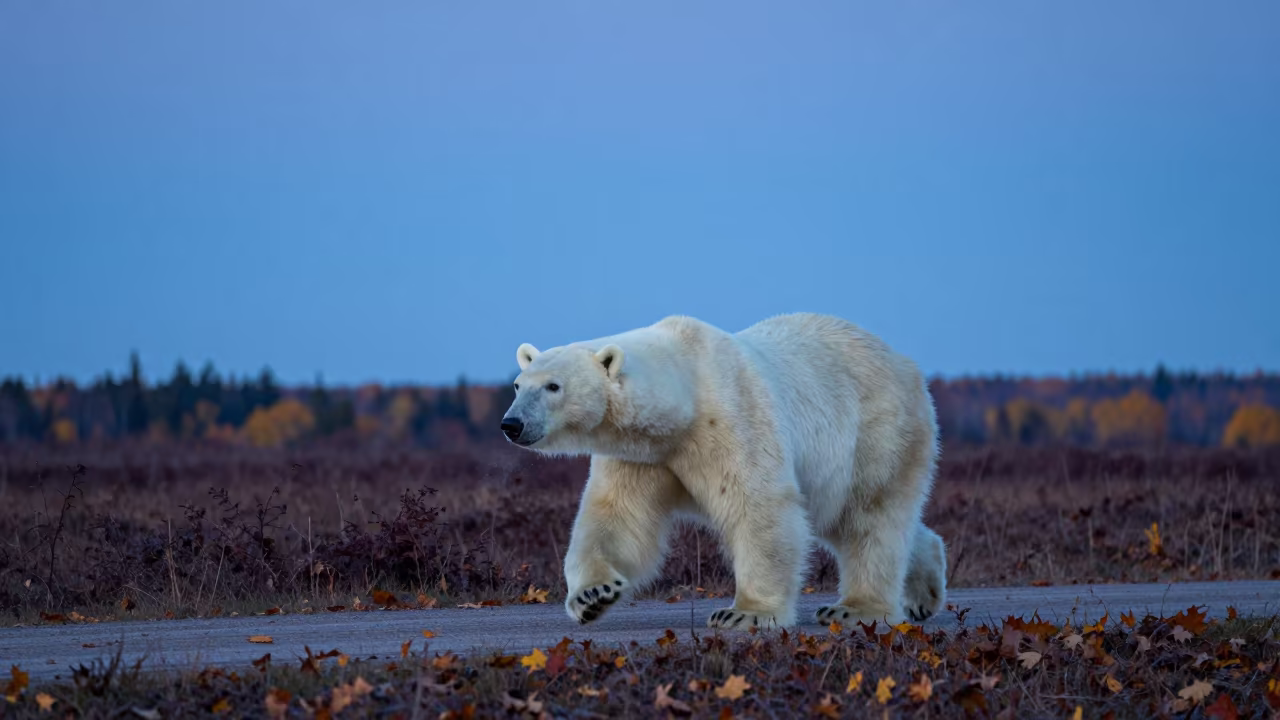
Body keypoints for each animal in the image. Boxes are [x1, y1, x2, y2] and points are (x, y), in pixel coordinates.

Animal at [499, 312, 947, 630]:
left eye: (554, 387)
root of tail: (906, 364)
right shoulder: (643, 455)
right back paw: (923, 591)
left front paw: (744, 613)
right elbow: (618, 517)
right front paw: (594, 595)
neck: (686, 396)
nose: (511, 424)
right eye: (520, 384)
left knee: (870, 516)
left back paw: (856, 609)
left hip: (877, 432)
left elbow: (760, 506)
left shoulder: (732, 418)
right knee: (852, 520)